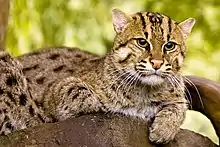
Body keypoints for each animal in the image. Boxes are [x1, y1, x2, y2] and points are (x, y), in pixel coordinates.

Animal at [0, 8, 194, 144]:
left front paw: (164, 129)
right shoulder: (54, 92)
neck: (144, 91)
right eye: (142, 42)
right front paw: (99, 103)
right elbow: (76, 90)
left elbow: (179, 106)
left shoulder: (177, 94)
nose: (157, 63)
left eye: (169, 46)